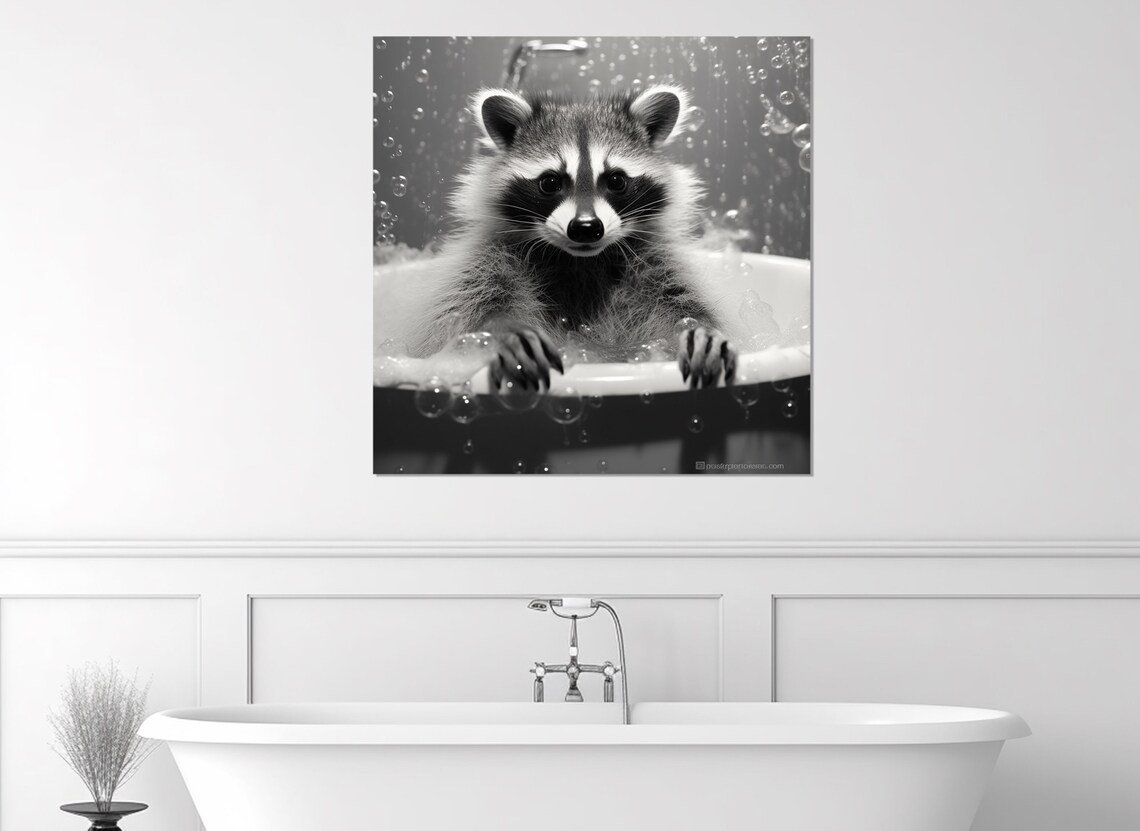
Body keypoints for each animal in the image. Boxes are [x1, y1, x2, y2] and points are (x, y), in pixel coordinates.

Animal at [404, 84, 736, 390]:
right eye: (550, 182)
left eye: (616, 180)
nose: (586, 227)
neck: (579, 260)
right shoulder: (488, 261)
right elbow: (469, 311)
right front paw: (503, 330)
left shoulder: (655, 262)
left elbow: (677, 305)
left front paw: (694, 328)